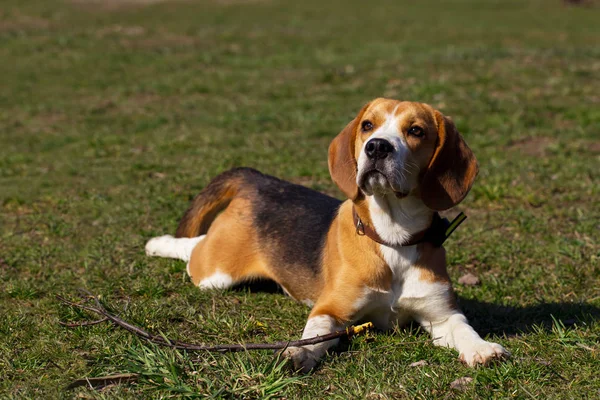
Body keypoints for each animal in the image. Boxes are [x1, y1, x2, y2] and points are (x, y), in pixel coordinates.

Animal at [146, 97, 510, 372]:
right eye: (368, 126)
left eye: (416, 131)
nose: (377, 147)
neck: (392, 238)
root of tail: (258, 179)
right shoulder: (330, 310)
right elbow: (314, 334)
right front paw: (298, 352)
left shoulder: (442, 315)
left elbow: (463, 327)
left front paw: (482, 349)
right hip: (217, 272)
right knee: (194, 248)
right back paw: (156, 244)